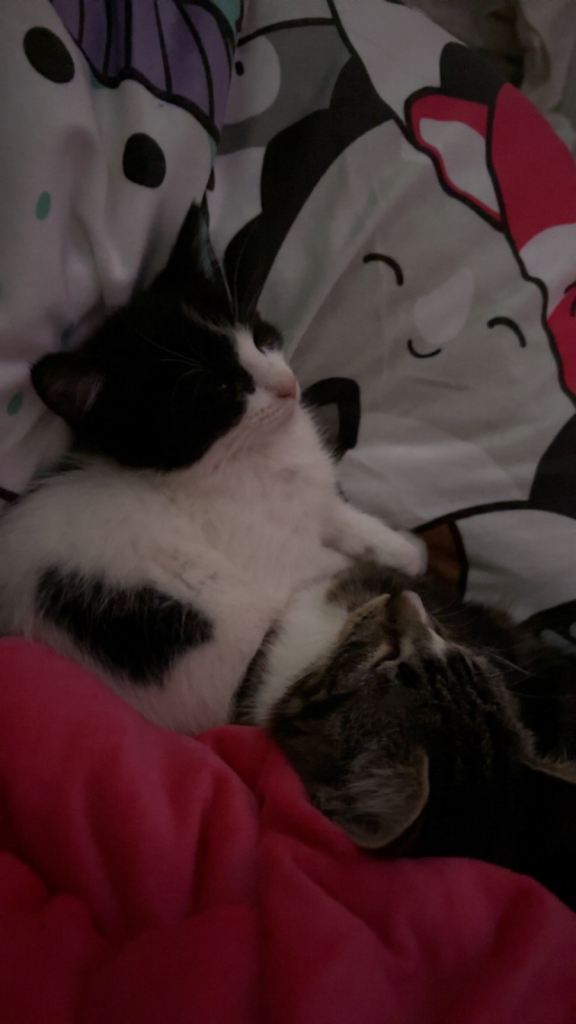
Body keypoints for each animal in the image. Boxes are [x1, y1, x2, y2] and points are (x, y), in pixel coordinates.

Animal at [0, 204, 424, 734]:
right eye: (222, 389)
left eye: (261, 339)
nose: (288, 385)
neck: (250, 458)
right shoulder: (277, 561)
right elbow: (333, 567)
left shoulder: (313, 501)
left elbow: (346, 521)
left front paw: (406, 550)